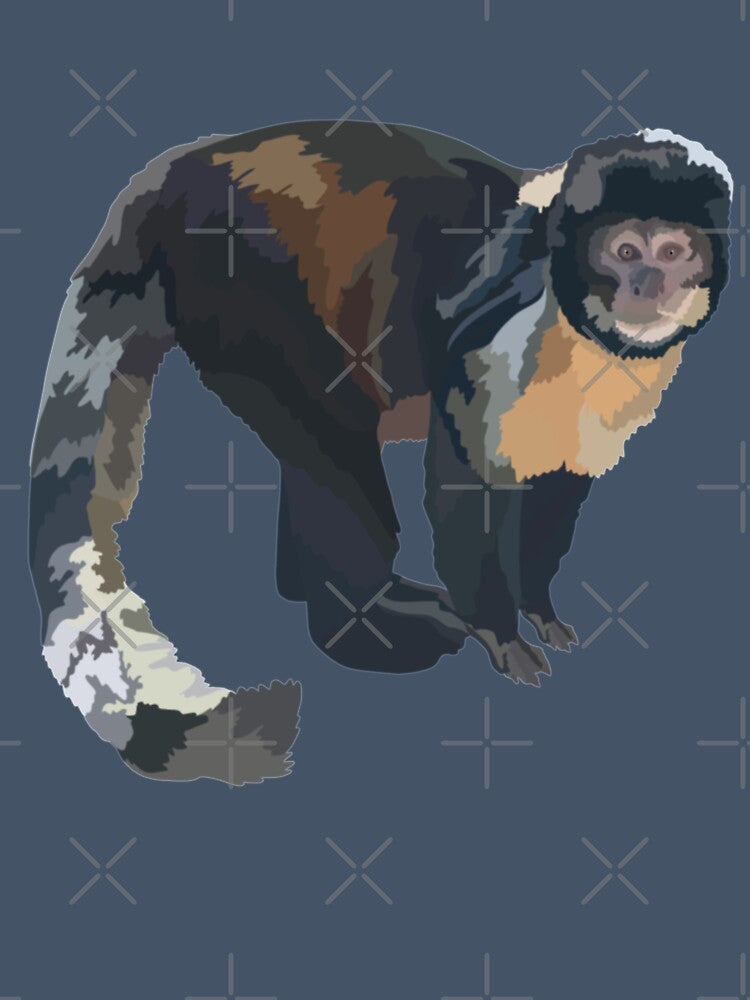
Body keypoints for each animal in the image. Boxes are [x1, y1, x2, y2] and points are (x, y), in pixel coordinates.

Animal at [28, 123, 732, 785]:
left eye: (674, 252)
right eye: (624, 252)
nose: (649, 285)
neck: (573, 319)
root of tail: (182, 167)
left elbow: (558, 486)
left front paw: (539, 608)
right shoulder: (506, 318)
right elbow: (467, 482)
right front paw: (498, 631)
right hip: (240, 273)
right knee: (334, 436)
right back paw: (364, 624)